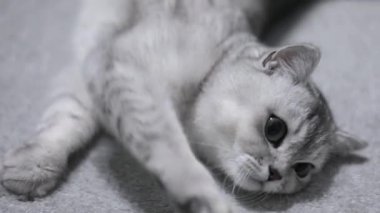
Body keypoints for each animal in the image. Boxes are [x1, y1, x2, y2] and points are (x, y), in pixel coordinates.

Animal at [0, 0, 368, 213]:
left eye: (303, 169)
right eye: (275, 129)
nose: (277, 174)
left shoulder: (99, 67)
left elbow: (69, 116)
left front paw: (31, 166)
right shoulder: (123, 67)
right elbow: (167, 145)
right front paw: (202, 195)